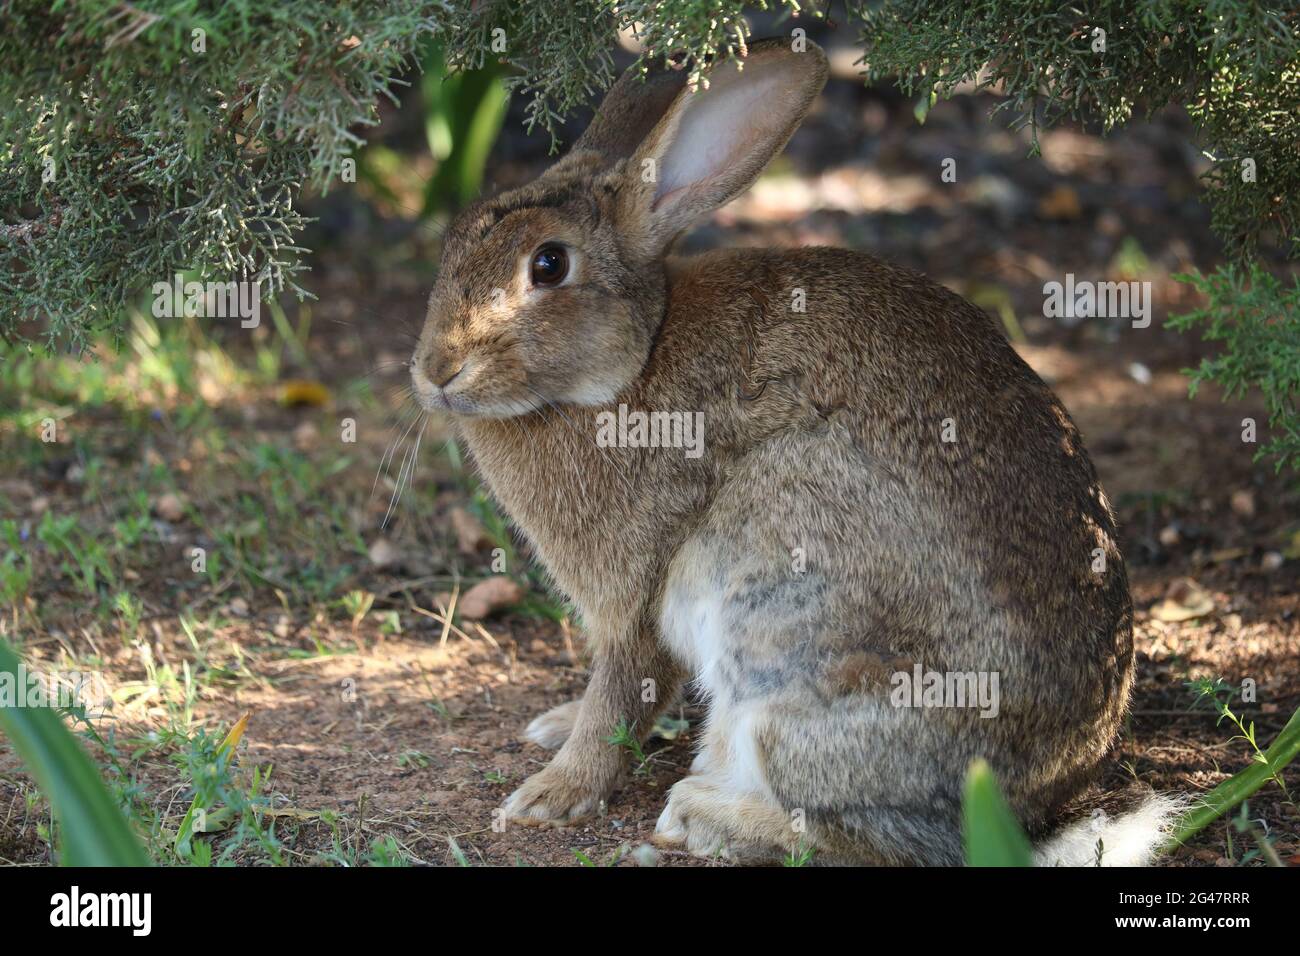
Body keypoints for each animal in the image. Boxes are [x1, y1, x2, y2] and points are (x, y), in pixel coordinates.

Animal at [409, 37, 1180, 865]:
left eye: (548, 265)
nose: (435, 371)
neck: (633, 361)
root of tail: (1042, 798)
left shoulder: (638, 598)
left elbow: (621, 695)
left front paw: (551, 794)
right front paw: (554, 726)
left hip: (787, 618)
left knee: (863, 837)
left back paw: (704, 815)